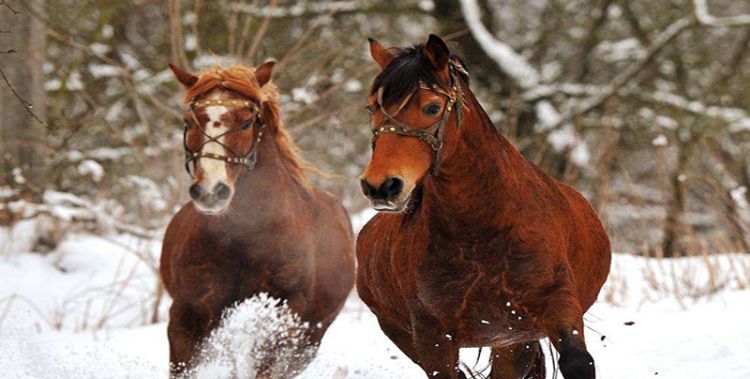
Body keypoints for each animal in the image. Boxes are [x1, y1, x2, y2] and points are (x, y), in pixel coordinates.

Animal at [162, 62, 356, 378]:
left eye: (245, 122)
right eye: (189, 122)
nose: (211, 192)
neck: (247, 237)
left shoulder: (284, 312)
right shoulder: (189, 311)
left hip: (311, 336)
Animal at [356, 34, 612, 378]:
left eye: (432, 107)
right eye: (372, 108)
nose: (381, 186)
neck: (482, 229)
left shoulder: (554, 304)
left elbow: (578, 362)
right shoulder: (431, 336)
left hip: (514, 341)